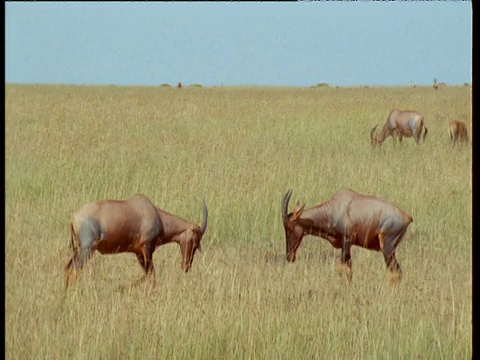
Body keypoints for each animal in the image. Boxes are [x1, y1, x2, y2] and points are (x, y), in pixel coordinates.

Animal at [64, 194, 207, 290]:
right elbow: (151, 275)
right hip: (87, 250)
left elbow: (148, 274)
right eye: (195, 241)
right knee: (74, 269)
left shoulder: (138, 252)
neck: (154, 213)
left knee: (68, 268)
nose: (186, 266)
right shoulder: (147, 248)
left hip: (79, 249)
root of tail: (74, 218)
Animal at [282, 188, 412, 284]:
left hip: (387, 249)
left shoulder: (347, 241)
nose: (289, 257)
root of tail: (406, 217)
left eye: (289, 229)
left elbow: (340, 269)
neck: (334, 209)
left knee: (396, 272)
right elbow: (349, 271)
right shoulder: (346, 246)